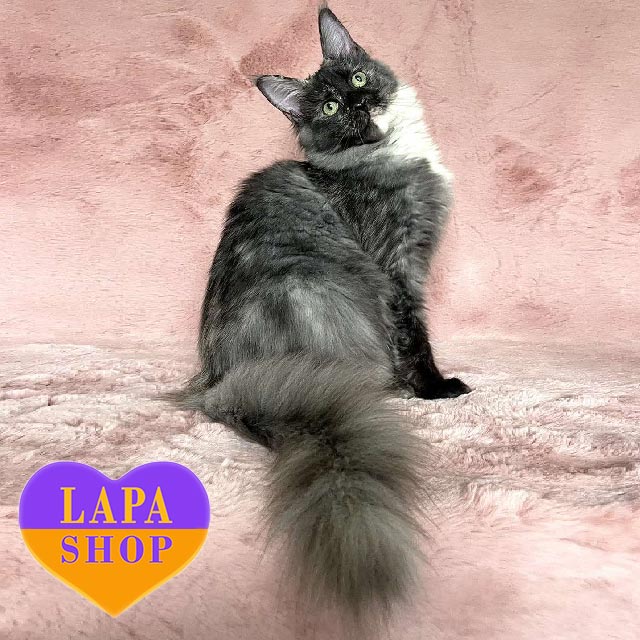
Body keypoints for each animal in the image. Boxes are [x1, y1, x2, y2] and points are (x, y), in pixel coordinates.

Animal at [172, 4, 470, 622]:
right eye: (330, 108)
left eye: (355, 78)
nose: (357, 103)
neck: (390, 154)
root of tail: (227, 385)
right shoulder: (397, 269)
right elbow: (415, 337)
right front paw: (435, 390)